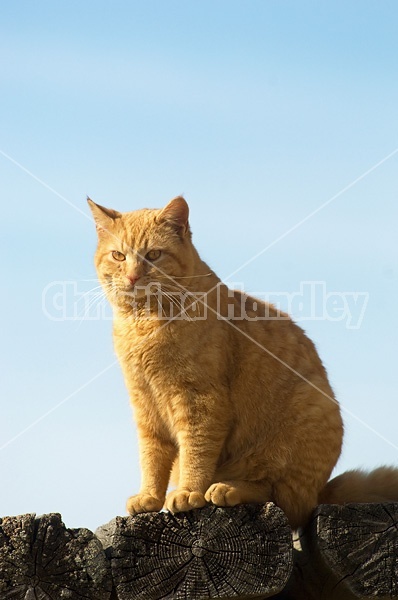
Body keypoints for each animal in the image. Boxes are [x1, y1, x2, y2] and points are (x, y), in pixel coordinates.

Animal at [88, 196, 398, 524]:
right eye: (118, 256)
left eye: (154, 255)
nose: (133, 276)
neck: (144, 322)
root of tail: (321, 491)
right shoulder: (145, 404)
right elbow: (153, 458)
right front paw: (149, 496)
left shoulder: (201, 401)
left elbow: (195, 452)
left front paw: (188, 491)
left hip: (300, 426)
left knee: (277, 492)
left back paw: (226, 488)